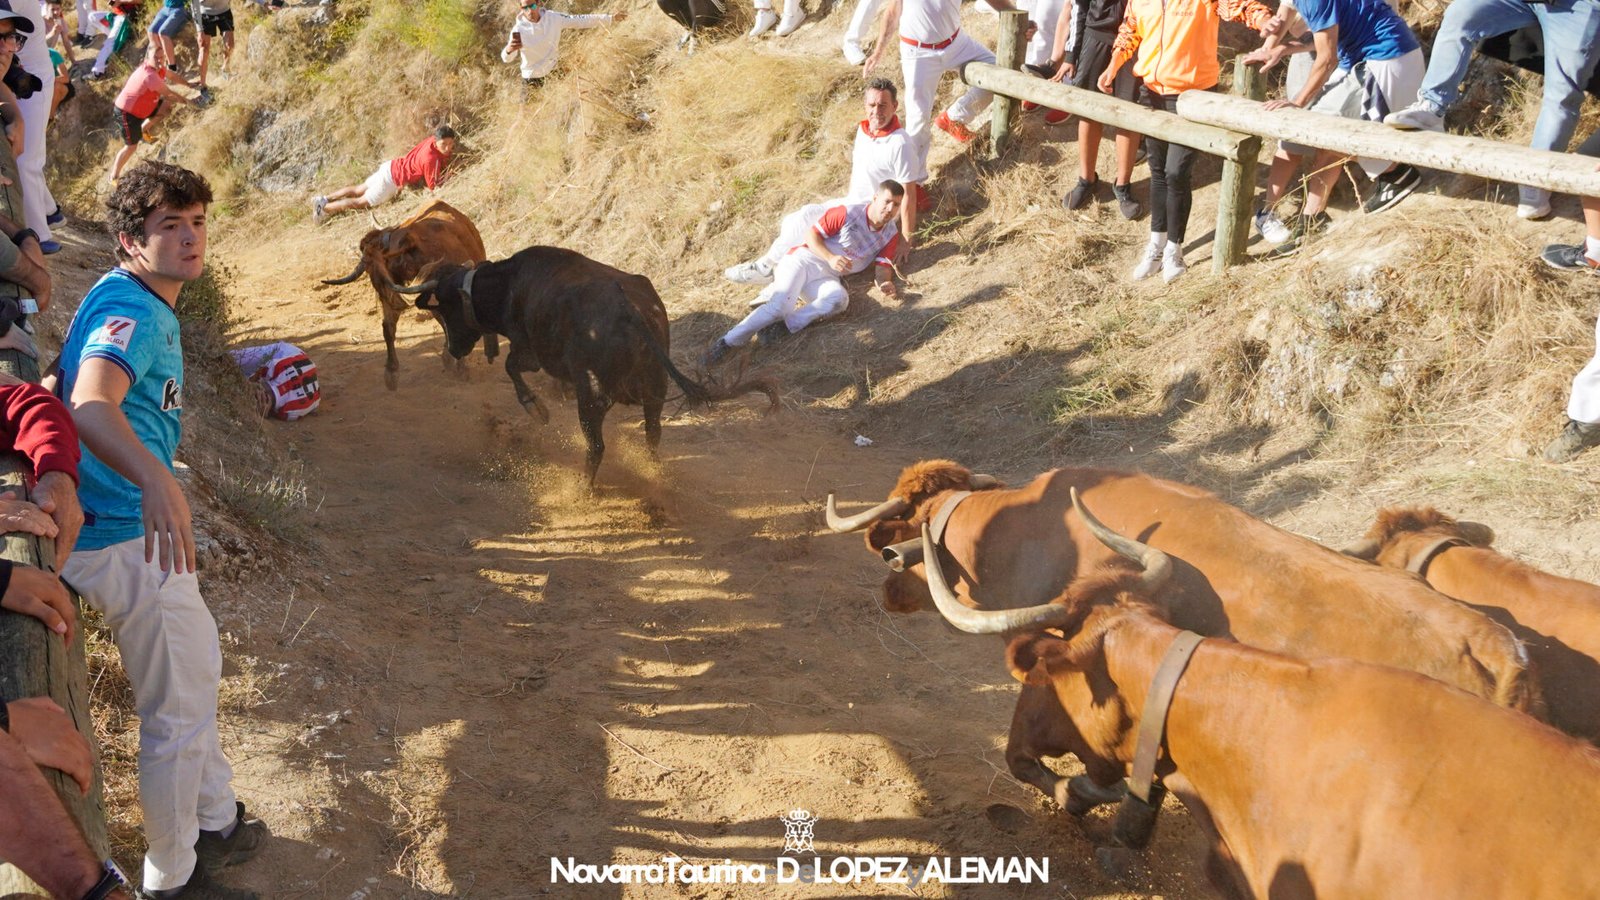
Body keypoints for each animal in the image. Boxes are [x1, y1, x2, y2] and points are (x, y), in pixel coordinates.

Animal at [393, 245, 780, 483]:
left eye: (444, 308)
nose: (453, 349)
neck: (508, 284)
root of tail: (631, 311)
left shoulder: (529, 351)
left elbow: (511, 367)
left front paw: (537, 409)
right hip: (655, 391)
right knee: (652, 435)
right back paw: (651, 473)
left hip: (592, 397)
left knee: (596, 446)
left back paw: (582, 488)